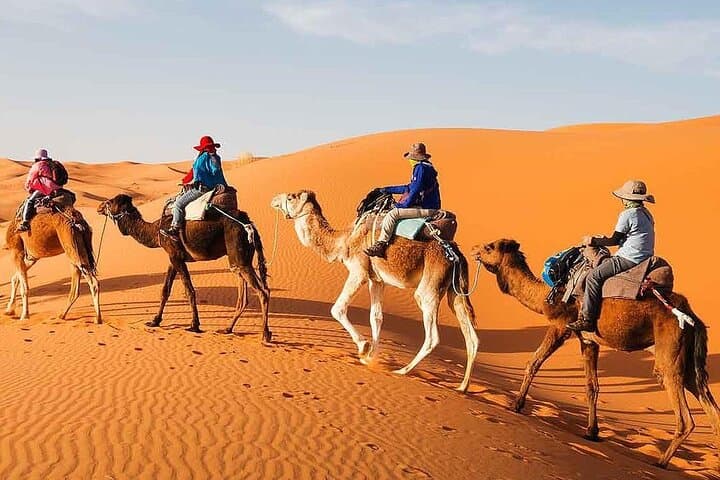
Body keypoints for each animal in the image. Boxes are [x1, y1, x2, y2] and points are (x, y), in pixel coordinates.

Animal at [97, 194, 270, 339]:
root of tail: (250, 224)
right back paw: (227, 329)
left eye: (110, 202)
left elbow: (189, 290)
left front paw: (194, 325)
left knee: (262, 291)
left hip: (238, 252)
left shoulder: (176, 257)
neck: (156, 230)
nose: (99, 207)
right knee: (245, 295)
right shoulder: (172, 257)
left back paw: (265, 335)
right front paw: (155, 321)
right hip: (240, 259)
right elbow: (165, 290)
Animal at [271, 190, 478, 392]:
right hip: (455, 291)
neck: (345, 241)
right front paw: (371, 358)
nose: (274, 199)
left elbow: (337, 309)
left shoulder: (359, 272)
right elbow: (376, 317)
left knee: (432, 336)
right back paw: (462, 386)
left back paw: (402, 371)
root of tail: (457, 255)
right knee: (471, 337)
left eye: (291, 197)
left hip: (430, 287)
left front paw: (363, 348)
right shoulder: (377, 280)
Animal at [472, 238, 720, 468]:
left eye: (489, 247)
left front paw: (517, 404)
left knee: (683, 414)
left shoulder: (561, 325)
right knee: (707, 402)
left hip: (669, 352)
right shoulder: (589, 340)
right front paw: (592, 432)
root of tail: (693, 317)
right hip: (688, 359)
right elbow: (592, 387)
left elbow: (533, 362)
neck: (547, 296)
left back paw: (660, 462)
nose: (474, 249)